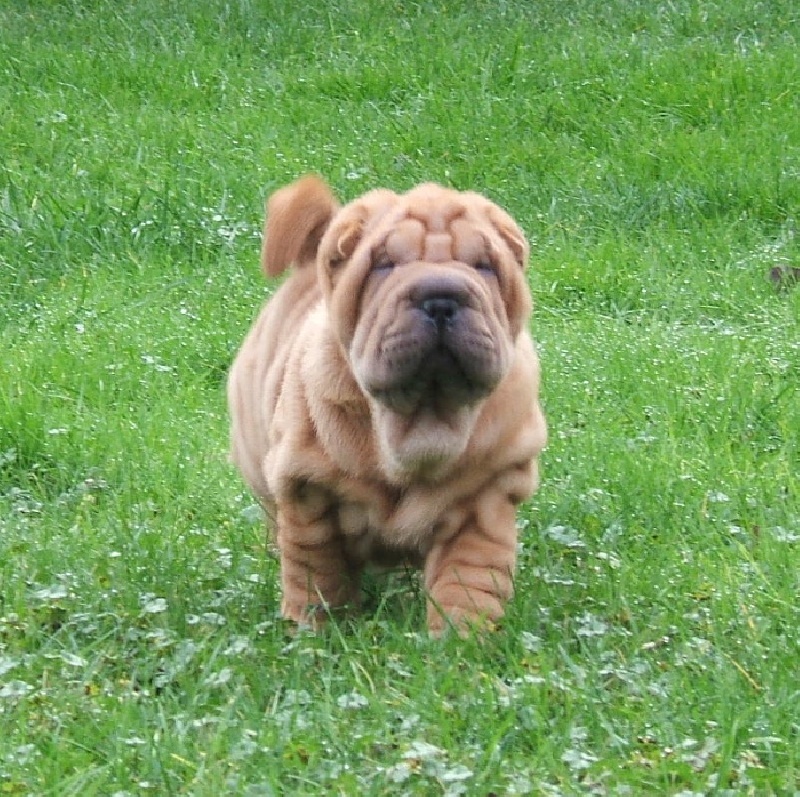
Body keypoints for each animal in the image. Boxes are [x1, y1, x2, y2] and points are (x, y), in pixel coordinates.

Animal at [228, 176, 547, 635]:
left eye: (485, 266)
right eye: (384, 265)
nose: (441, 297)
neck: (421, 419)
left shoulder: (484, 501)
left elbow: (466, 582)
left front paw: (461, 640)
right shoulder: (308, 494)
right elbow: (315, 574)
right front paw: (316, 633)